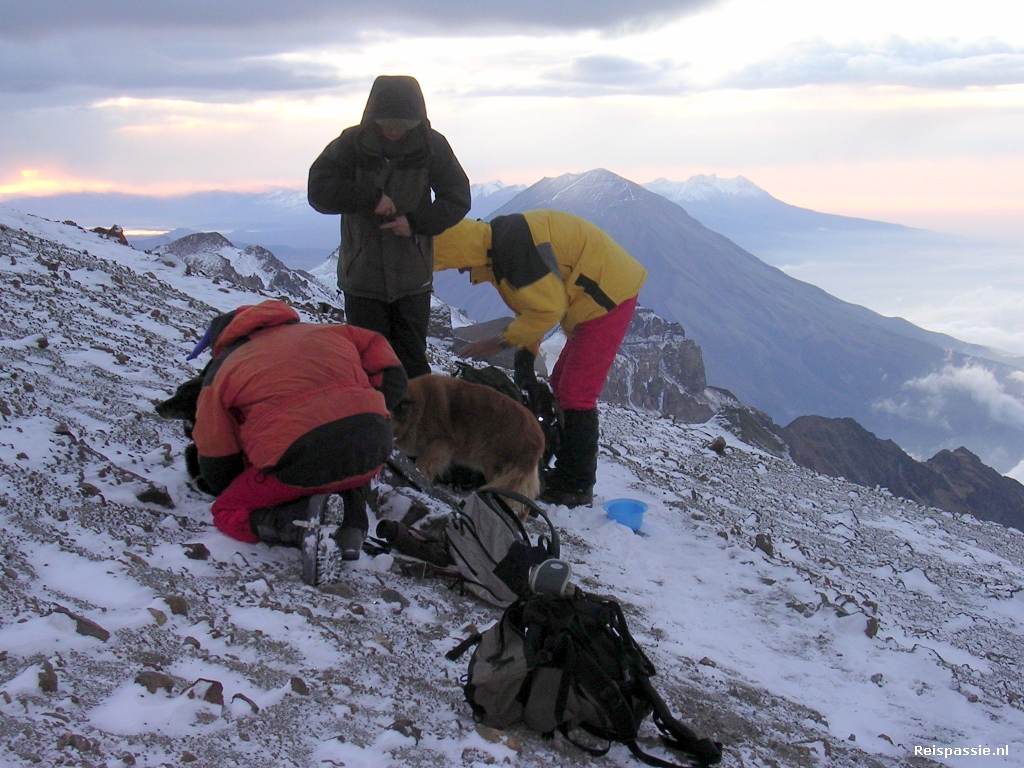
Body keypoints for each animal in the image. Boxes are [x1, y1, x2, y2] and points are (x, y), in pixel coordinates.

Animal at [391, 374, 548, 520]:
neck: (420, 406)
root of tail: (539, 438)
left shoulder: (441, 445)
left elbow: (422, 464)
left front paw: (420, 478)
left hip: (496, 469)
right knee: (526, 501)